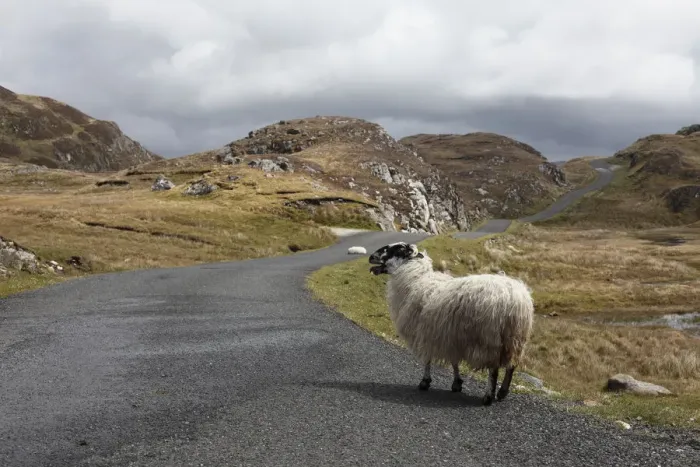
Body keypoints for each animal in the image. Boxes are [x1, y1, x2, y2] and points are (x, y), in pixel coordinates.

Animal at [368, 241, 534, 405]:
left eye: (397, 249)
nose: (371, 257)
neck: (415, 280)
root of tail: (515, 297)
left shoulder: (425, 332)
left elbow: (427, 358)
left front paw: (425, 382)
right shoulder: (450, 335)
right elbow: (454, 360)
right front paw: (456, 383)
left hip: (489, 339)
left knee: (494, 370)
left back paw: (488, 396)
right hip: (514, 340)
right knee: (511, 366)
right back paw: (502, 392)